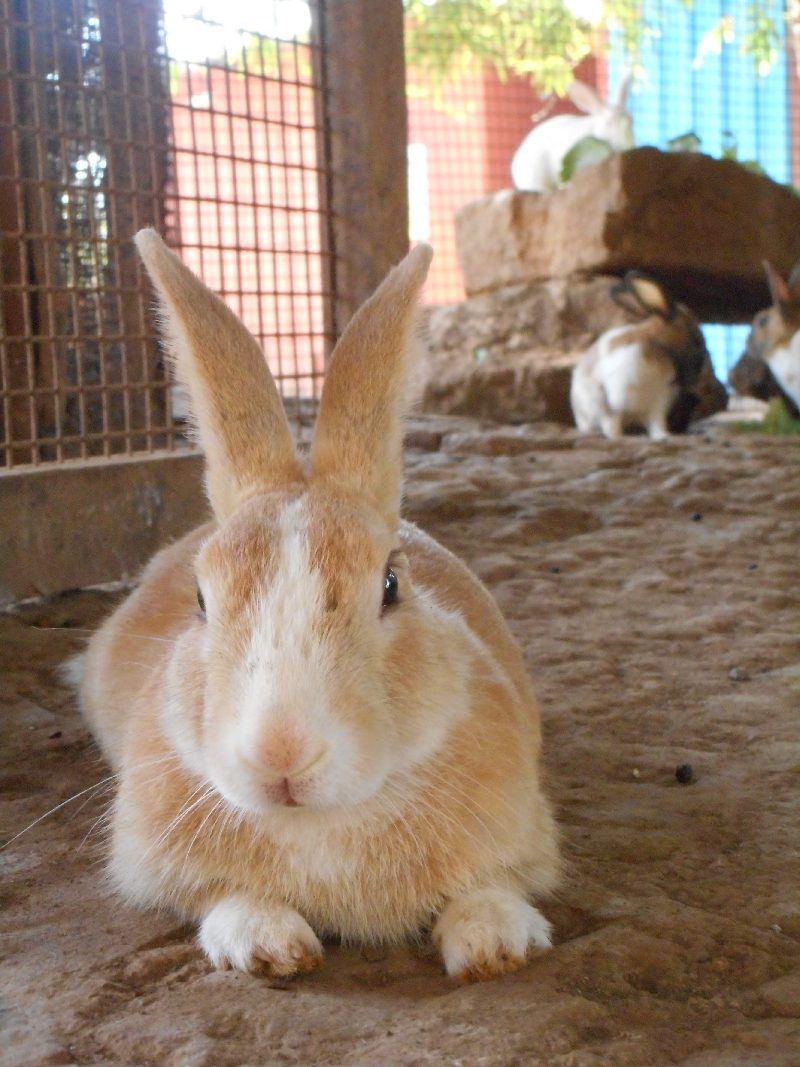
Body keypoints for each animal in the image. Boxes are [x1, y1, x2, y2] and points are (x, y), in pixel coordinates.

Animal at [74, 230, 561, 982]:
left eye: (390, 585)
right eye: (201, 598)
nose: (282, 752)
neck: (323, 820)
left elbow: (492, 884)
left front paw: (494, 943)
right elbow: (220, 895)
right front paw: (267, 943)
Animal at [570, 272, 711, 440]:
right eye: (697, 339)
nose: (698, 374)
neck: (658, 347)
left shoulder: (658, 405)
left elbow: (657, 424)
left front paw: (663, 436)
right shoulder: (612, 400)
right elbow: (611, 423)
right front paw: (617, 437)